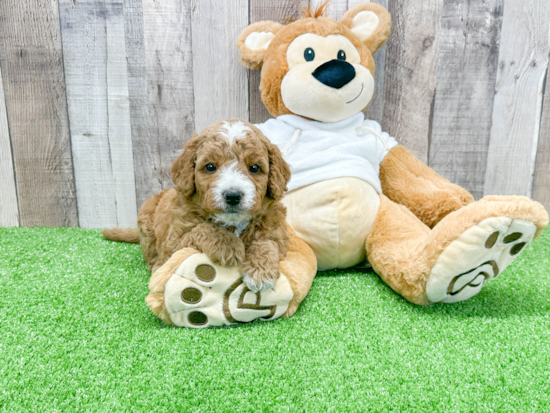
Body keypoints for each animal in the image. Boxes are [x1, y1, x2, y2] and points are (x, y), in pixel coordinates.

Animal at [104, 118, 294, 292]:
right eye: (210, 166)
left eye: (254, 168)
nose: (233, 196)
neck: (233, 222)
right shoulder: (173, 242)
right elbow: (203, 229)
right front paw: (228, 245)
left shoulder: (279, 233)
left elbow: (267, 242)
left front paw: (261, 271)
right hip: (147, 222)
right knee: (152, 254)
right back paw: (157, 266)